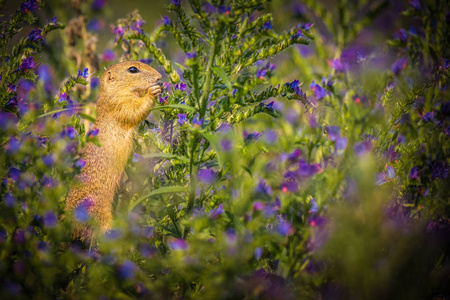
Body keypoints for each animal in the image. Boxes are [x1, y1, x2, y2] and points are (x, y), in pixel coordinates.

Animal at [63, 59, 162, 243]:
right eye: (133, 69)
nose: (159, 77)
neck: (111, 93)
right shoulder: (119, 105)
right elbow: (135, 111)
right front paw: (153, 92)